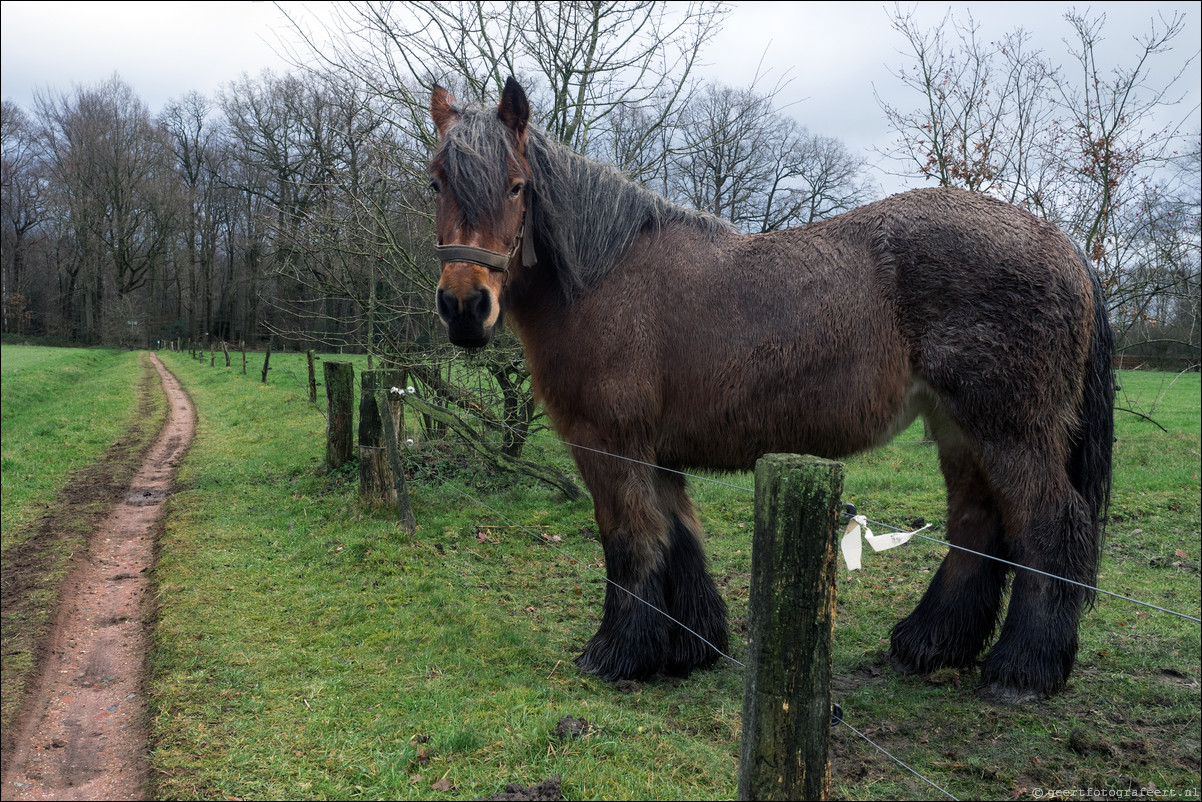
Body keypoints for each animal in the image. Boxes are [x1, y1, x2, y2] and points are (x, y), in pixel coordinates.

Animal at [427, 76, 1110, 702]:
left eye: (516, 186)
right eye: (436, 182)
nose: (464, 308)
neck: (604, 278)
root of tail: (1062, 243)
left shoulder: (611, 445)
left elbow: (631, 541)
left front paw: (620, 652)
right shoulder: (659, 452)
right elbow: (680, 537)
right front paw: (691, 648)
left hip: (1008, 429)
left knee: (1049, 525)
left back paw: (1023, 669)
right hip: (958, 428)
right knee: (978, 524)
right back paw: (931, 643)